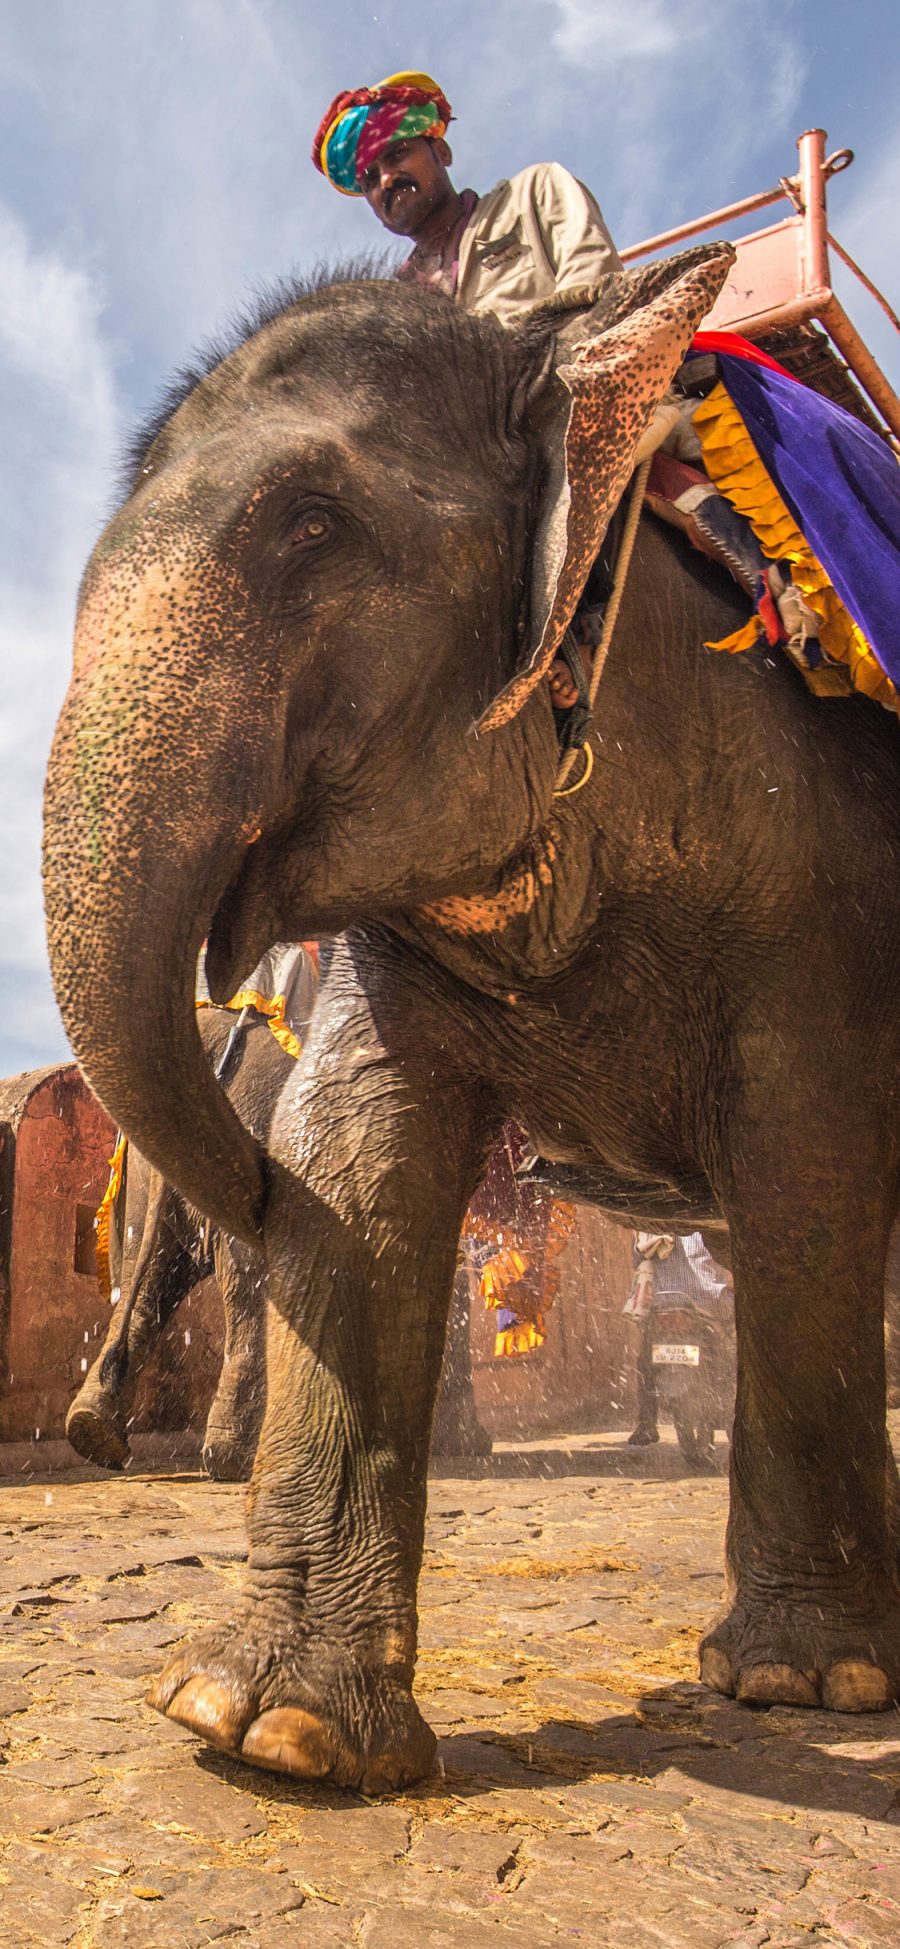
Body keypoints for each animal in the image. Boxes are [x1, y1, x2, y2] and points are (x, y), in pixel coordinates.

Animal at [42, 247, 900, 1793]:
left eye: (312, 524)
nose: (238, 1176)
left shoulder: (819, 846)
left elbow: (807, 1164)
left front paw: (807, 1683)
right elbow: (356, 1156)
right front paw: (268, 1730)